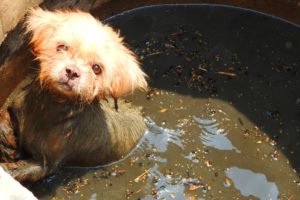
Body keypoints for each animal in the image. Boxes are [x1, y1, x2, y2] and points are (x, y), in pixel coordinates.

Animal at [0, 8, 148, 181]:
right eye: (63, 47)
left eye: (96, 68)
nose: (72, 72)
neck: (47, 110)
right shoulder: (16, 106)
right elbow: (6, 116)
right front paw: (6, 139)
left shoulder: (46, 162)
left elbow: (21, 170)